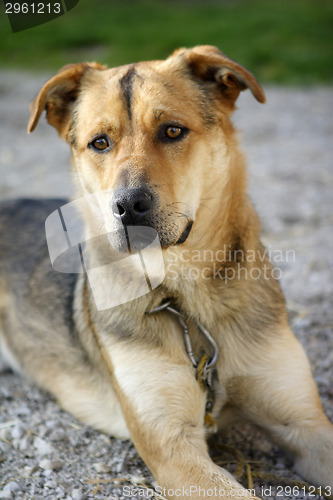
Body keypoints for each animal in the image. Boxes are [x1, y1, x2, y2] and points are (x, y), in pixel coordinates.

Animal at [0, 46, 332, 496]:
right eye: (99, 143)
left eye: (172, 131)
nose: (127, 206)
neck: (185, 296)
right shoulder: (175, 448)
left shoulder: (305, 422)